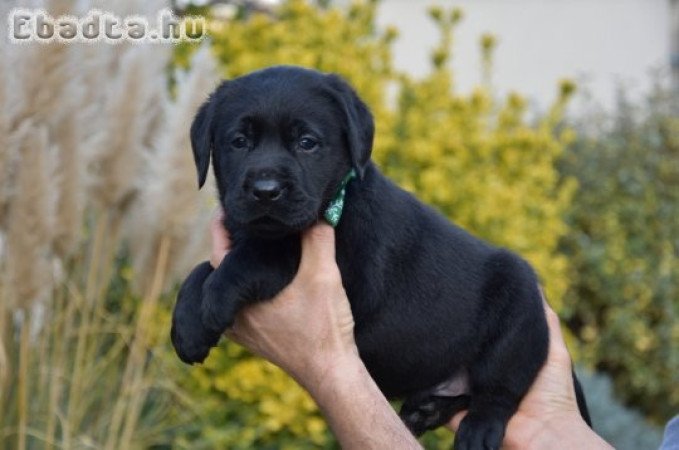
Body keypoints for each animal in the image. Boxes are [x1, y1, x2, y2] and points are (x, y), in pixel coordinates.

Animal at [171, 65, 588, 448]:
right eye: (239, 141)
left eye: (307, 142)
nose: (265, 190)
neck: (340, 195)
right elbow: (201, 269)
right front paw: (187, 326)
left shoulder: (340, 263)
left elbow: (252, 258)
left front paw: (214, 302)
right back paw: (427, 410)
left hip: (519, 318)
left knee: (500, 391)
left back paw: (478, 431)